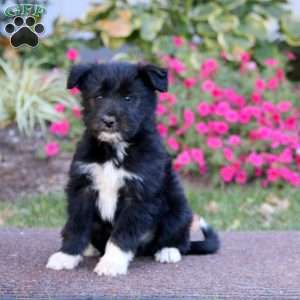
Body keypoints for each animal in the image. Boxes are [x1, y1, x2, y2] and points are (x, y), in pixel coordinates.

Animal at [47, 62, 220, 276]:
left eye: (128, 98)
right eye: (98, 96)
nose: (108, 121)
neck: (114, 150)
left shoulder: (138, 195)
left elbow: (122, 233)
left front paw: (111, 263)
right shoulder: (82, 188)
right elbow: (76, 226)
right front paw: (67, 256)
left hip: (178, 206)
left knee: (180, 239)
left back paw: (168, 251)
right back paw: (90, 249)